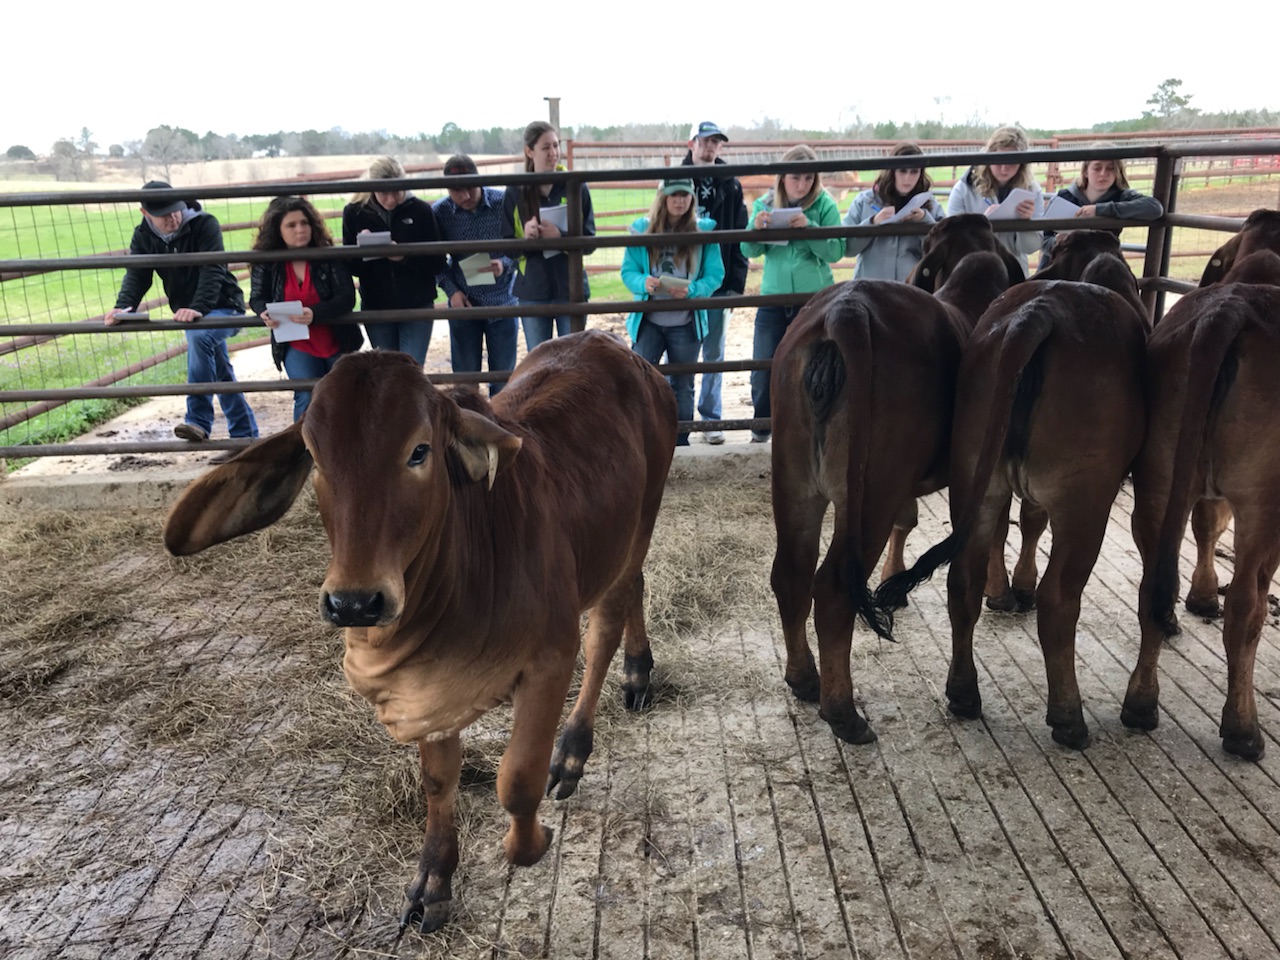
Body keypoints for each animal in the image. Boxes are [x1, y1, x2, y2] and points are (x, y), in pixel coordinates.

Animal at [163, 335, 680, 936]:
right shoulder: (428, 685)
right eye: (315, 458)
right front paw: (433, 879)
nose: (354, 602)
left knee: (606, 627)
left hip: (642, 518)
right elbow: (438, 780)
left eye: (419, 451)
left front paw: (534, 840)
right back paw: (639, 668)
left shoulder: (550, 659)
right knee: (634, 590)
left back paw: (577, 745)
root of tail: (615, 348)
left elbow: (517, 779)